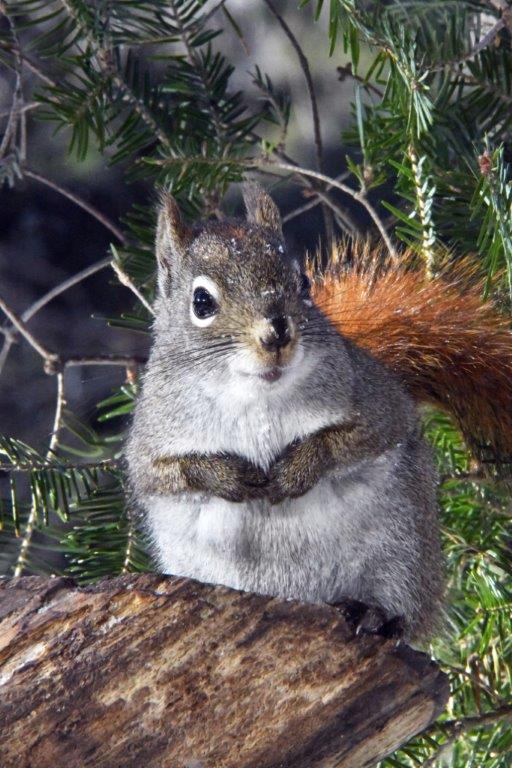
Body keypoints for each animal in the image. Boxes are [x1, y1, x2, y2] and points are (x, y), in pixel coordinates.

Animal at [126, 183, 512, 641]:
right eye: (201, 302)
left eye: (303, 281)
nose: (277, 332)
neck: (256, 395)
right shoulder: (151, 440)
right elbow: (167, 472)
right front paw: (229, 476)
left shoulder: (377, 404)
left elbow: (353, 439)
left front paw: (297, 468)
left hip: (403, 551)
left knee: (406, 609)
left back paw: (375, 614)